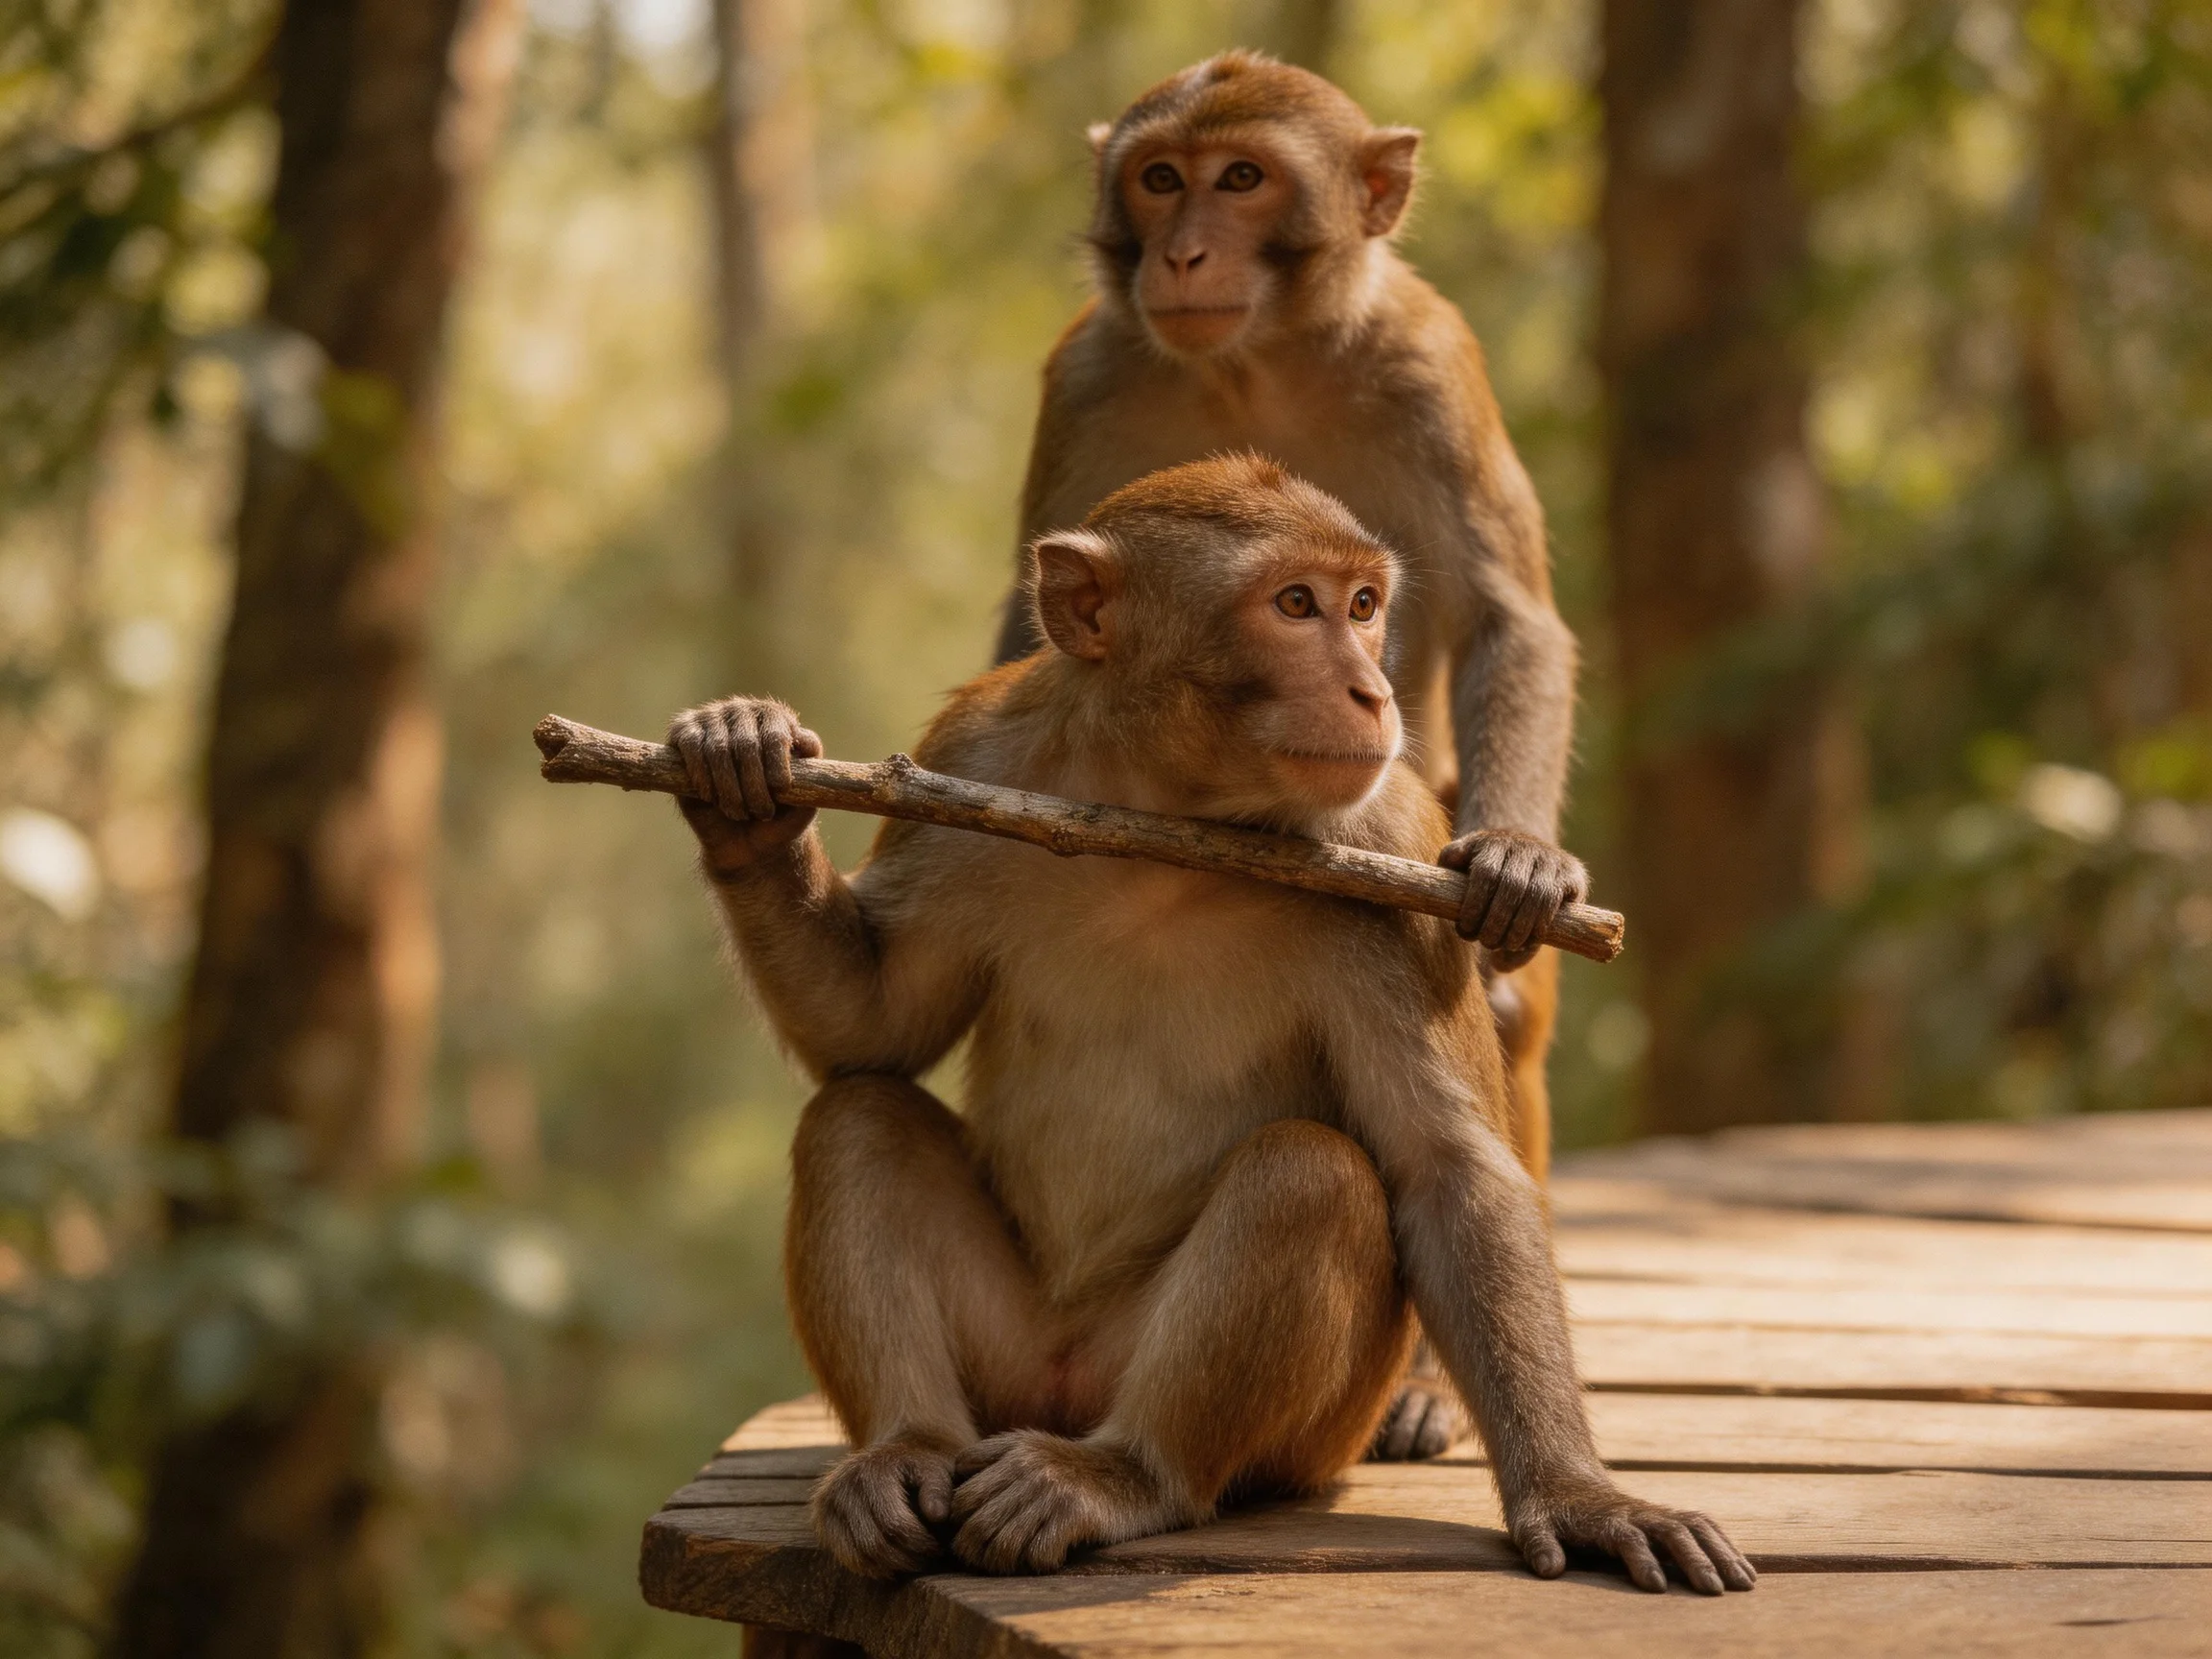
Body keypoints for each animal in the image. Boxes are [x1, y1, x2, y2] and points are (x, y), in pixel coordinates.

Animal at [671, 457, 1753, 1595]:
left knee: (1309, 1175)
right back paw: (904, 1452)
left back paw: (1127, 1476)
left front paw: (1581, 1497)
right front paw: (742, 793)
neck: (1169, 811)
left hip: (1283, 1430)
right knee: (859, 1117)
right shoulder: (972, 758)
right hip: (1009, 1359)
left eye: (1363, 608)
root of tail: (1063, 1388)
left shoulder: (1394, 856)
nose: (1372, 692)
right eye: (1296, 605)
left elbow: (1448, 1170)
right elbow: (874, 1024)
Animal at [988, 52, 1585, 1459]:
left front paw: (1519, 858)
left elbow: (1508, 617)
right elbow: (1032, 617)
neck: (1259, 359)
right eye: (1161, 178)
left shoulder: (1430, 361)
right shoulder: (1089, 369)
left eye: (1245, 177)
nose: (1185, 250)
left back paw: (1427, 1389)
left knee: (1498, 1010)